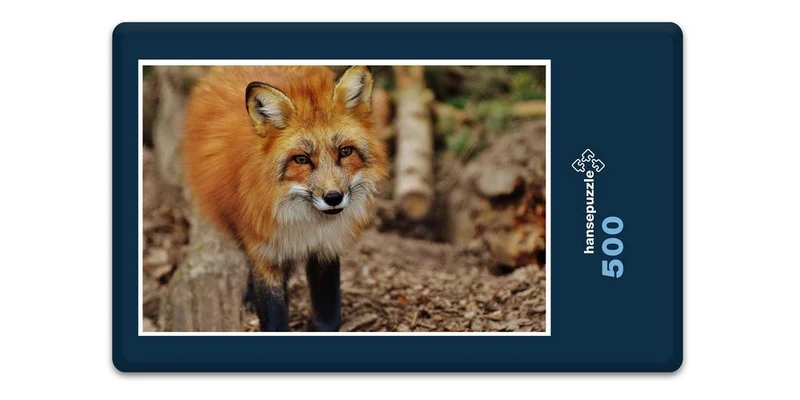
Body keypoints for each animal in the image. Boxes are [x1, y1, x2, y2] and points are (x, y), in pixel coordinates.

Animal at [181, 66, 388, 332]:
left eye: (345, 152)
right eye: (301, 159)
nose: (333, 197)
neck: (304, 222)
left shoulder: (326, 247)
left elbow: (327, 311)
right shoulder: (265, 251)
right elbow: (273, 314)